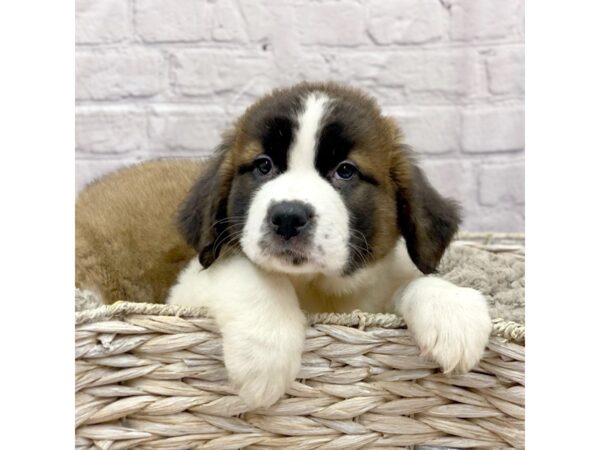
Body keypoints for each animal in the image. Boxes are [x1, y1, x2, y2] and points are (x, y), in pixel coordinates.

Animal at [77, 82, 492, 410]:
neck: (316, 288)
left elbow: (416, 279)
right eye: (263, 166)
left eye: (345, 171)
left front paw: (452, 311)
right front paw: (265, 355)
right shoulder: (188, 285)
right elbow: (248, 271)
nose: (289, 217)